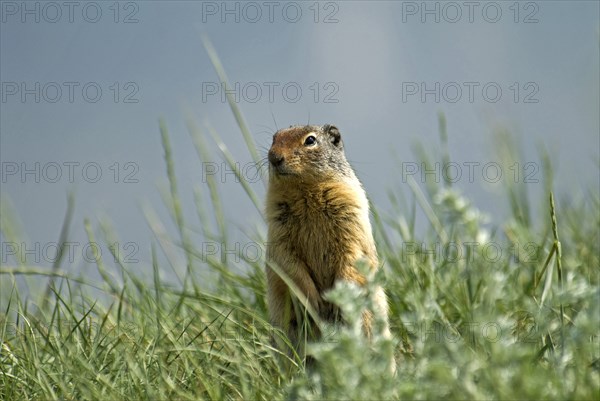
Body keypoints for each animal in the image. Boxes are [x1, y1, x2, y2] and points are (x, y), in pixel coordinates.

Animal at [264, 123, 392, 358]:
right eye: (274, 138)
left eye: (310, 140)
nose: (274, 157)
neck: (306, 192)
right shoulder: (277, 228)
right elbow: (287, 261)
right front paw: (313, 300)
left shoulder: (350, 213)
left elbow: (352, 253)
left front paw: (338, 298)